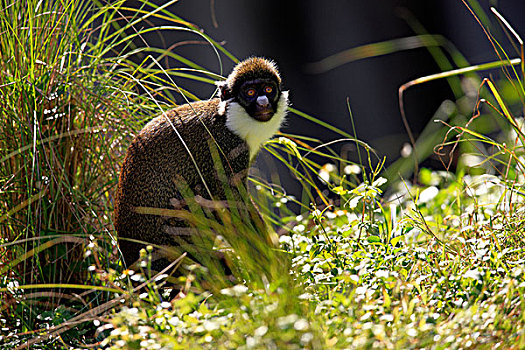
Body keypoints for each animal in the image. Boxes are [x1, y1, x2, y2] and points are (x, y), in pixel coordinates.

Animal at [112, 56, 288, 270]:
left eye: (268, 89)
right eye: (250, 93)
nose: (263, 103)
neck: (227, 120)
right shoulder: (227, 148)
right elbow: (231, 202)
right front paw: (270, 265)